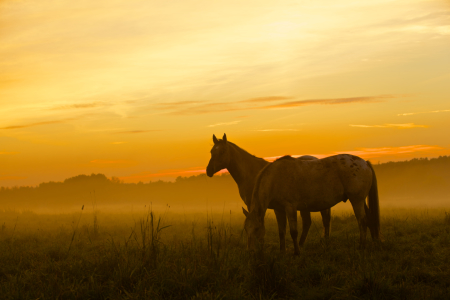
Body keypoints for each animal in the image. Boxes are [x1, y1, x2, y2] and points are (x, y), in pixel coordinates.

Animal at [243, 155, 380, 255]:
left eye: (256, 229)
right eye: (245, 229)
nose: (250, 251)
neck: (275, 179)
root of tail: (365, 163)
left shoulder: (290, 207)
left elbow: (293, 231)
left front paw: (297, 252)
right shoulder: (279, 210)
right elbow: (281, 231)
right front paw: (282, 252)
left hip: (356, 200)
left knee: (362, 221)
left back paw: (361, 246)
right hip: (360, 201)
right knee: (369, 219)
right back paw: (373, 243)